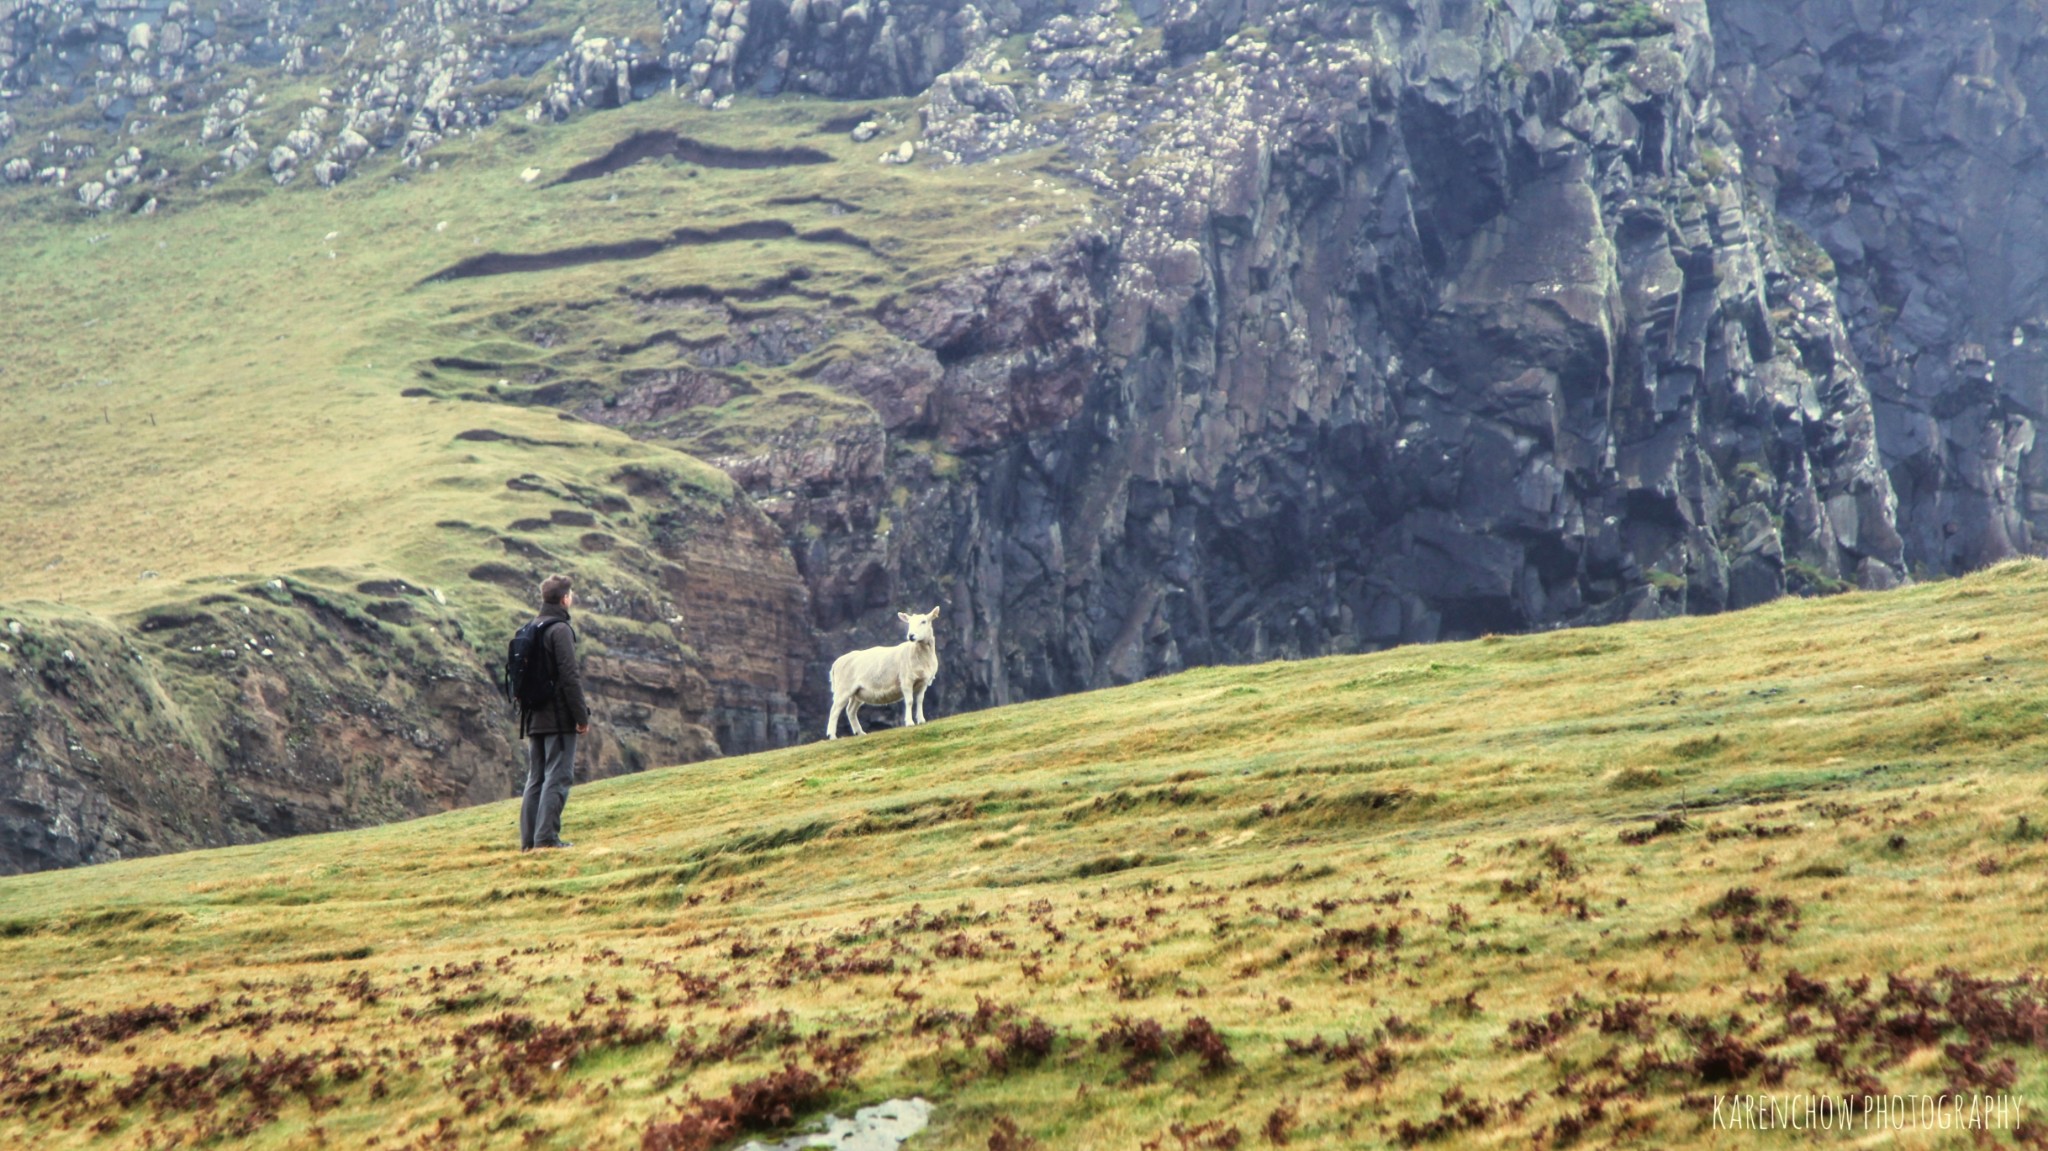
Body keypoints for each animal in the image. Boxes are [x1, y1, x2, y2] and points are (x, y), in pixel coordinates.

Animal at [823, 606, 937, 737]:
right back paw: (832, 735)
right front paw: (909, 723)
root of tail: (836, 663)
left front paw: (921, 720)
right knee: (835, 710)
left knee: (850, 710)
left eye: (924, 621)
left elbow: (919, 701)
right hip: (843, 688)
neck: (919, 654)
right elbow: (909, 701)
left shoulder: (923, 682)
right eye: (909, 623)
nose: (911, 636)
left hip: (858, 692)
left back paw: (860, 732)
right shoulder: (906, 681)